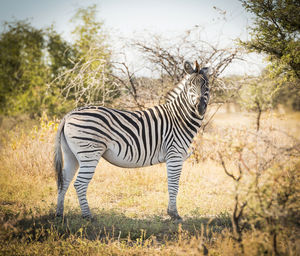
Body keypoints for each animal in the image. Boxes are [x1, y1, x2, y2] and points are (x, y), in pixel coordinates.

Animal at [54, 61, 209, 221]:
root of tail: (69, 114)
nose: (200, 107)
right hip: (89, 152)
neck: (179, 119)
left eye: (206, 84)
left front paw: (171, 212)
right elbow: (173, 185)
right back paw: (88, 216)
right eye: (190, 85)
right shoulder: (175, 155)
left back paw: (59, 214)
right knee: (79, 184)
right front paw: (174, 214)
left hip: (71, 154)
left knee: (63, 181)